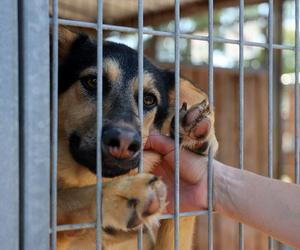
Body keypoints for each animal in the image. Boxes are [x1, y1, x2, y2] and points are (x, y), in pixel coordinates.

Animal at [55, 27, 218, 250]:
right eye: (92, 82)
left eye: (148, 100)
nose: (124, 143)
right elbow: (62, 199)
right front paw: (119, 195)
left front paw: (196, 132)